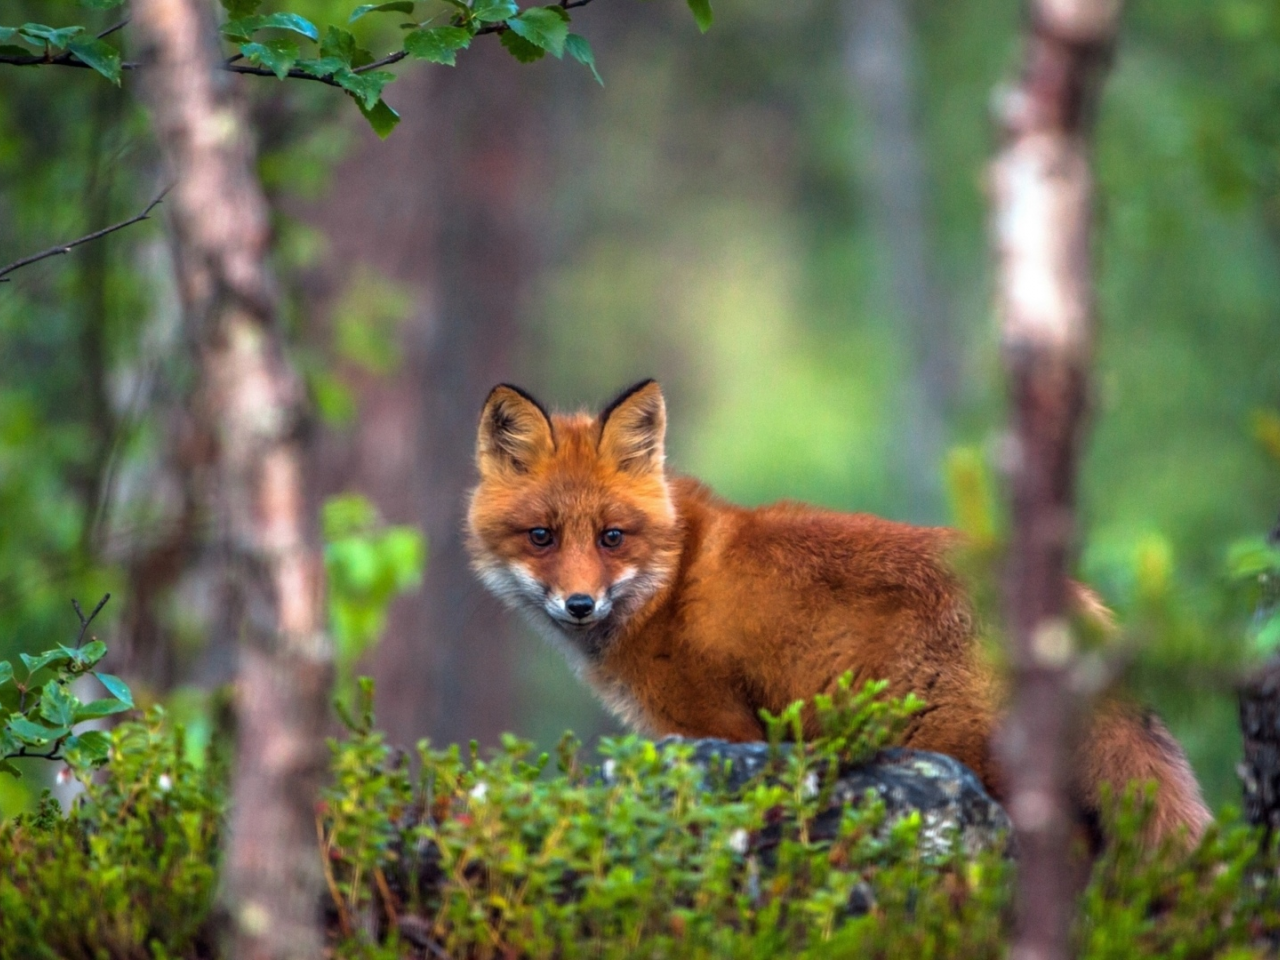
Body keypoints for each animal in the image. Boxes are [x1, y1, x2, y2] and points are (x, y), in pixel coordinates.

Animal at [468, 378, 1208, 844]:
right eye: (542, 537)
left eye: (612, 537)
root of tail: (1075, 604)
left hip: (959, 748)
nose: (580, 604)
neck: (669, 581)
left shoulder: (721, 729)